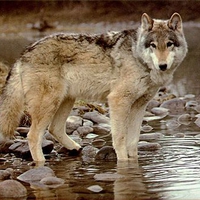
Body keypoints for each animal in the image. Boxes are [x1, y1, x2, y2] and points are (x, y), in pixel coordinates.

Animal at [0, 13, 188, 162]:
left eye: (169, 44)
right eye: (153, 45)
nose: (162, 66)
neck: (138, 58)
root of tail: (24, 53)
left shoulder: (139, 106)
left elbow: (133, 141)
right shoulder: (118, 101)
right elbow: (119, 139)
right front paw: (123, 163)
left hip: (67, 100)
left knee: (54, 128)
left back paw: (75, 148)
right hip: (49, 104)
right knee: (33, 136)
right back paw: (41, 164)